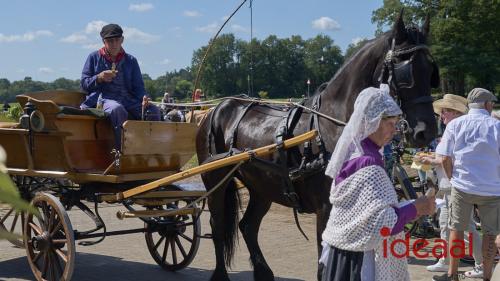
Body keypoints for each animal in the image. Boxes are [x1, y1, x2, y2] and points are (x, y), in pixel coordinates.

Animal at [197, 11, 440, 280]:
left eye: (431, 71)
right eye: (406, 71)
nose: (426, 132)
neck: (333, 126)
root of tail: (216, 109)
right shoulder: (326, 208)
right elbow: (324, 263)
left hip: (262, 186)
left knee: (248, 226)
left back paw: (264, 272)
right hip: (216, 182)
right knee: (218, 226)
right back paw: (220, 274)